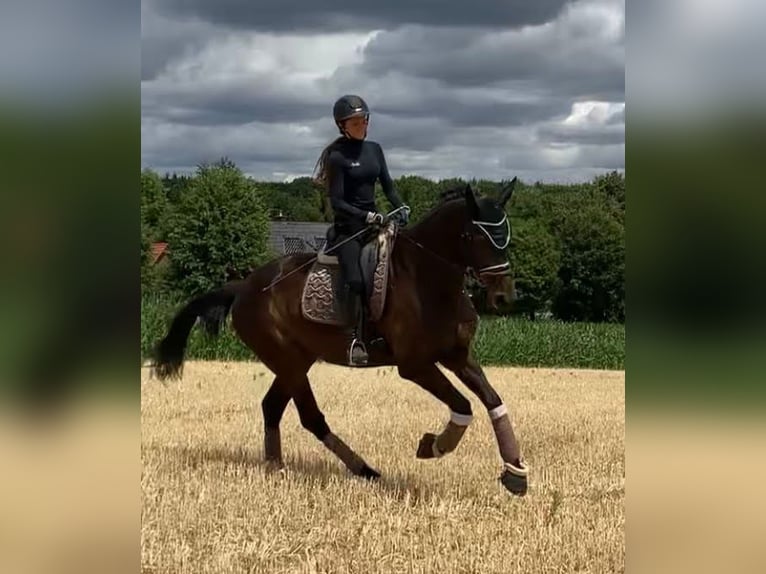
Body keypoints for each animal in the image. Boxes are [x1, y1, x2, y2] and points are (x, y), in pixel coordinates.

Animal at [153, 181, 532, 500]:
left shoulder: (457, 356)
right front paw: (434, 446)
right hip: (288, 361)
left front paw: (515, 473)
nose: (504, 297)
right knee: (310, 417)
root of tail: (244, 286)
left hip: (297, 360)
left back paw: (278, 469)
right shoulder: (415, 365)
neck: (430, 280)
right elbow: (463, 405)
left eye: (506, 236)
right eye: (473, 236)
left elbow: (492, 399)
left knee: (273, 406)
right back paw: (362, 469)